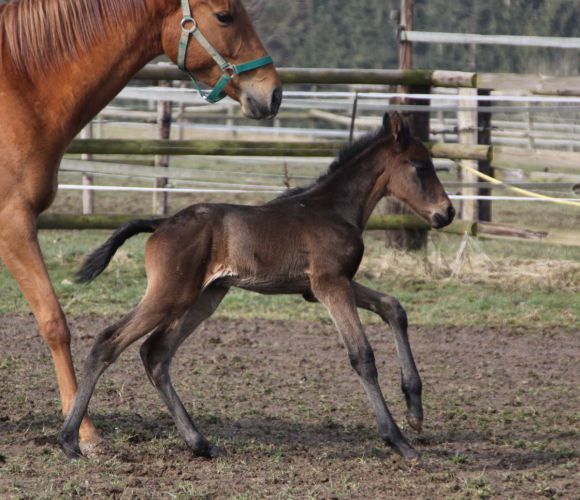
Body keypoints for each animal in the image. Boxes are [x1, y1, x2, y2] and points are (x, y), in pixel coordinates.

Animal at [0, 0, 280, 452]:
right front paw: (85, 432)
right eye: (225, 16)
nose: (273, 92)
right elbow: (54, 322)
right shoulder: (13, 222)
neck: (21, 90)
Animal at [61, 113, 456, 460]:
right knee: (108, 342)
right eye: (420, 166)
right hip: (170, 294)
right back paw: (69, 440)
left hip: (205, 296)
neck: (333, 209)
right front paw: (398, 440)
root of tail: (161, 223)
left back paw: (201, 444)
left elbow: (393, 307)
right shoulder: (330, 285)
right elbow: (363, 355)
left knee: (156, 353)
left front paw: (415, 409)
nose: (447, 212)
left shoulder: (325, 285)